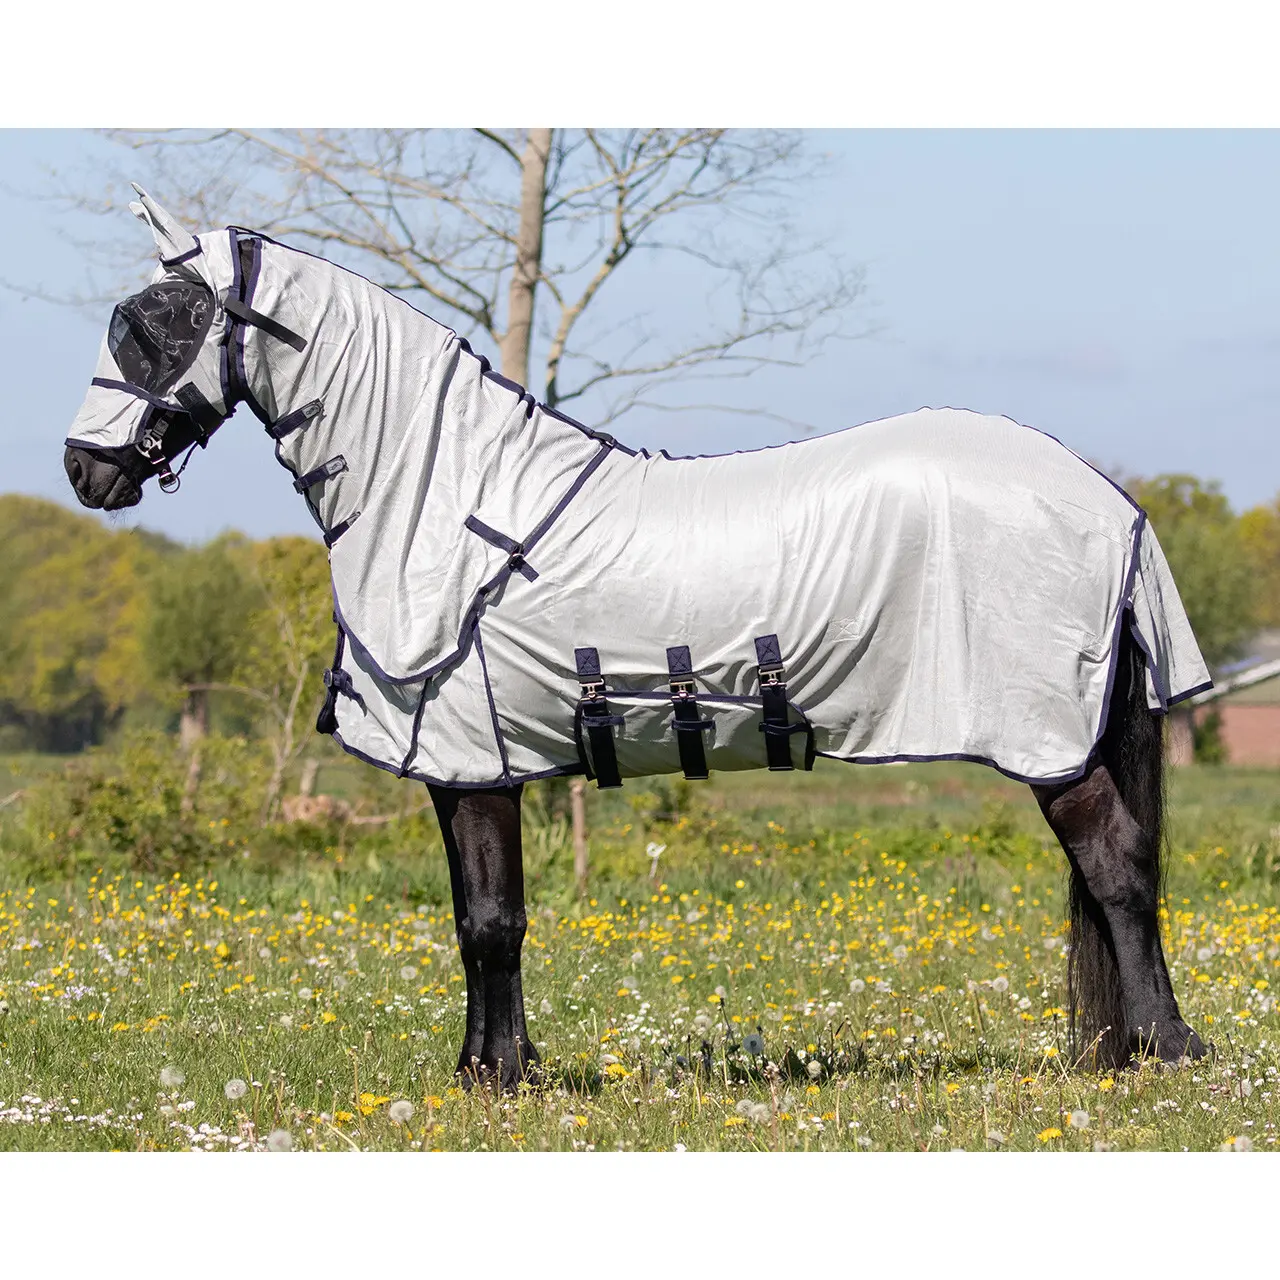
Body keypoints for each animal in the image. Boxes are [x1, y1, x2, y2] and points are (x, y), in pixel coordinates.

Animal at [63, 187, 1212, 1088]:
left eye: (159, 322)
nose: (85, 468)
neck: (446, 498)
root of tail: (1104, 497)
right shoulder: (465, 765)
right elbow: (477, 920)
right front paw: (491, 1068)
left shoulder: (477, 758)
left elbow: (494, 922)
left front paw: (498, 1078)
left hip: (1047, 736)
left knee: (1118, 866)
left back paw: (1165, 1048)